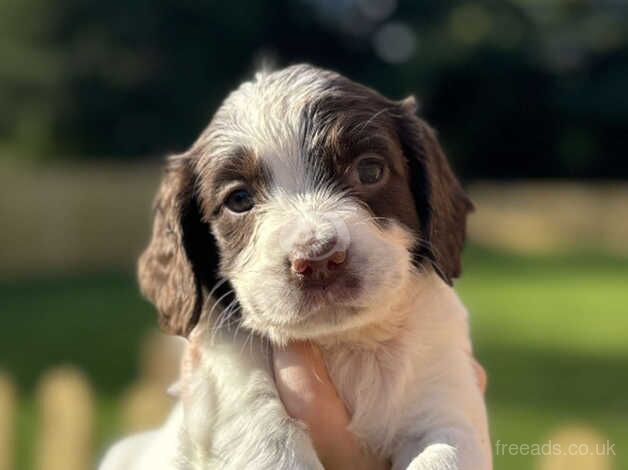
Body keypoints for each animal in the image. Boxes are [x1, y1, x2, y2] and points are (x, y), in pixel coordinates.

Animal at [99, 63, 490, 470]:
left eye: (369, 171)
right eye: (239, 199)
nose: (319, 258)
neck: (342, 344)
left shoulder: (444, 395)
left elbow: (444, 454)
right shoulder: (229, 384)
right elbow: (269, 442)